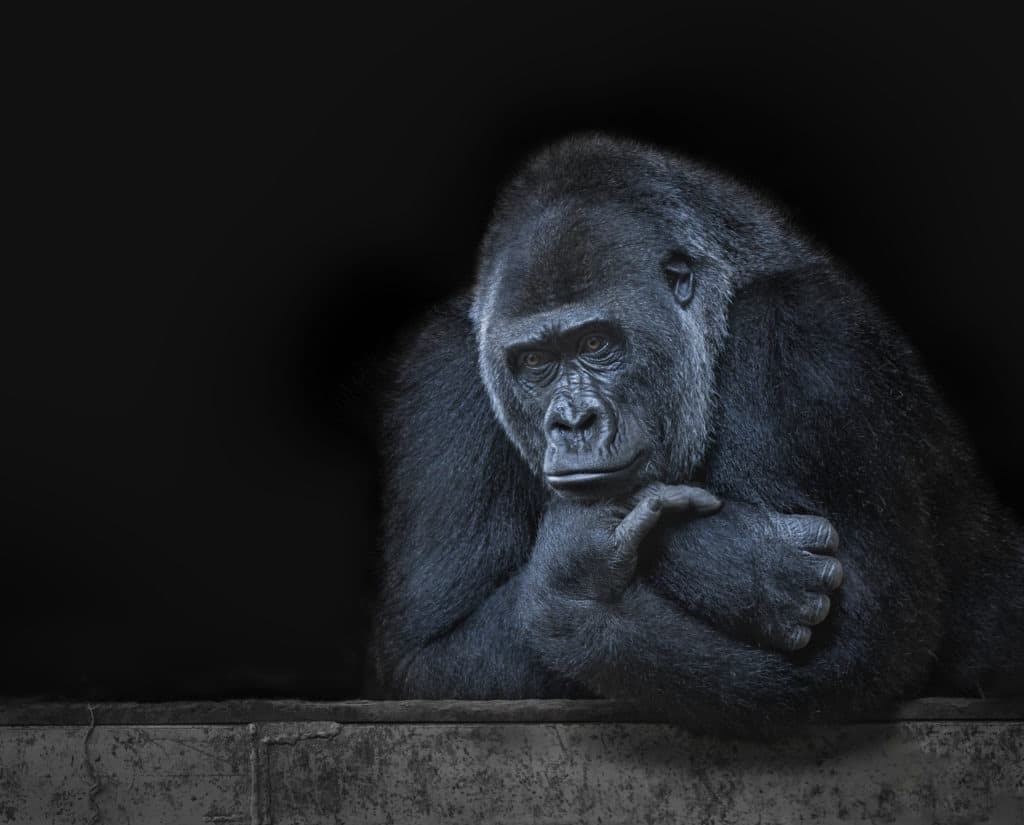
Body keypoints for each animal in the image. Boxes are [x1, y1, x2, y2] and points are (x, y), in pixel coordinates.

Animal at [370, 134, 1024, 736]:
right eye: (534, 362)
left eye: (596, 343)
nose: (574, 423)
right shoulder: (444, 375)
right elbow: (433, 653)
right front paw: (721, 564)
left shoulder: (805, 340)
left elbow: (859, 645)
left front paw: (578, 591)